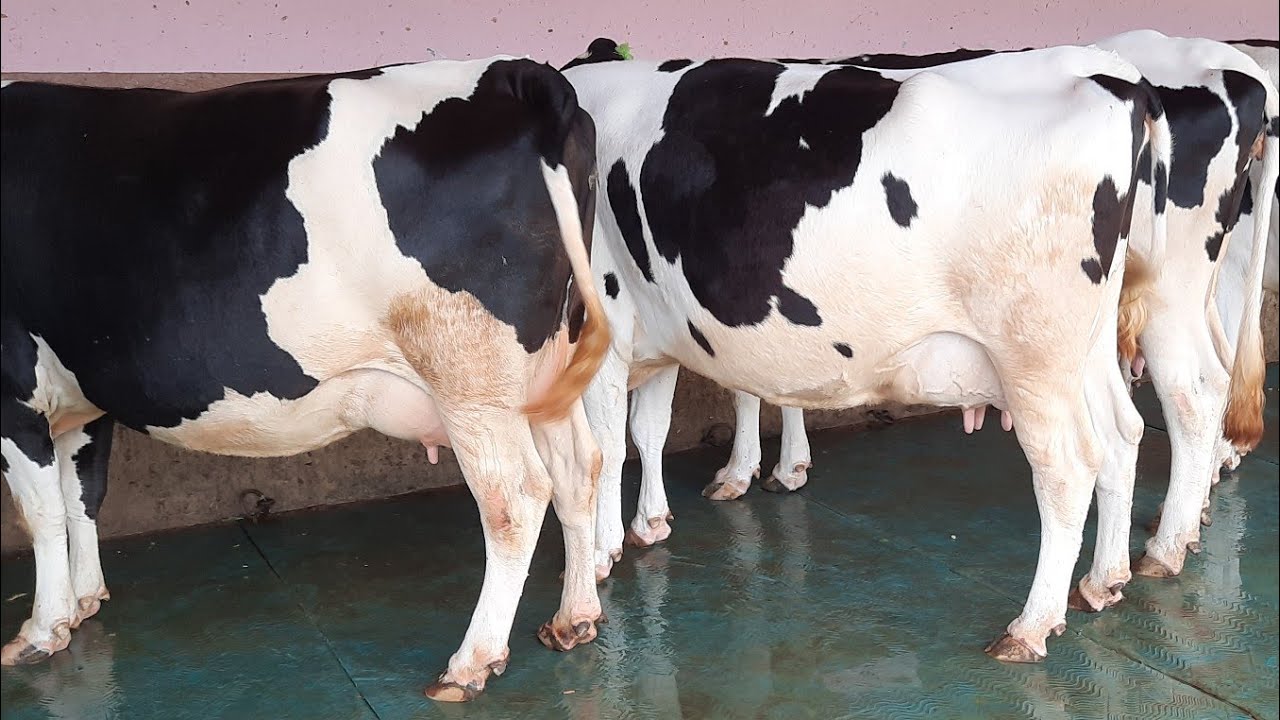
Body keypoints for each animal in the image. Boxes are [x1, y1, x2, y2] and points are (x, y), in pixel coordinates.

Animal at [0, 57, 610, 702]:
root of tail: (515, 72)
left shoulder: (13, 389)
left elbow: (40, 513)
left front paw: (41, 629)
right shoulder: (81, 398)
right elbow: (81, 496)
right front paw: (83, 601)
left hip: (469, 376)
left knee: (514, 498)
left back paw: (471, 662)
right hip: (547, 370)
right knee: (578, 468)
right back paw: (573, 619)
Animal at [563, 38, 1173, 660]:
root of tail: (1114, 75)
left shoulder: (603, 327)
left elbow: (608, 448)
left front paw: (601, 552)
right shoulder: (655, 327)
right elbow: (647, 431)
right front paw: (648, 523)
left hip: (1034, 357)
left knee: (1068, 468)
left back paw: (1032, 624)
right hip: (1086, 347)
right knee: (1122, 435)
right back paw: (1103, 581)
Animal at [616, 32, 1279, 591]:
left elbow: (747, 381)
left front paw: (748, 470)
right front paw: (777, 463)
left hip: (1153, 293)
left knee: (1189, 394)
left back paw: (1163, 546)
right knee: (1204, 378)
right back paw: (1177, 522)